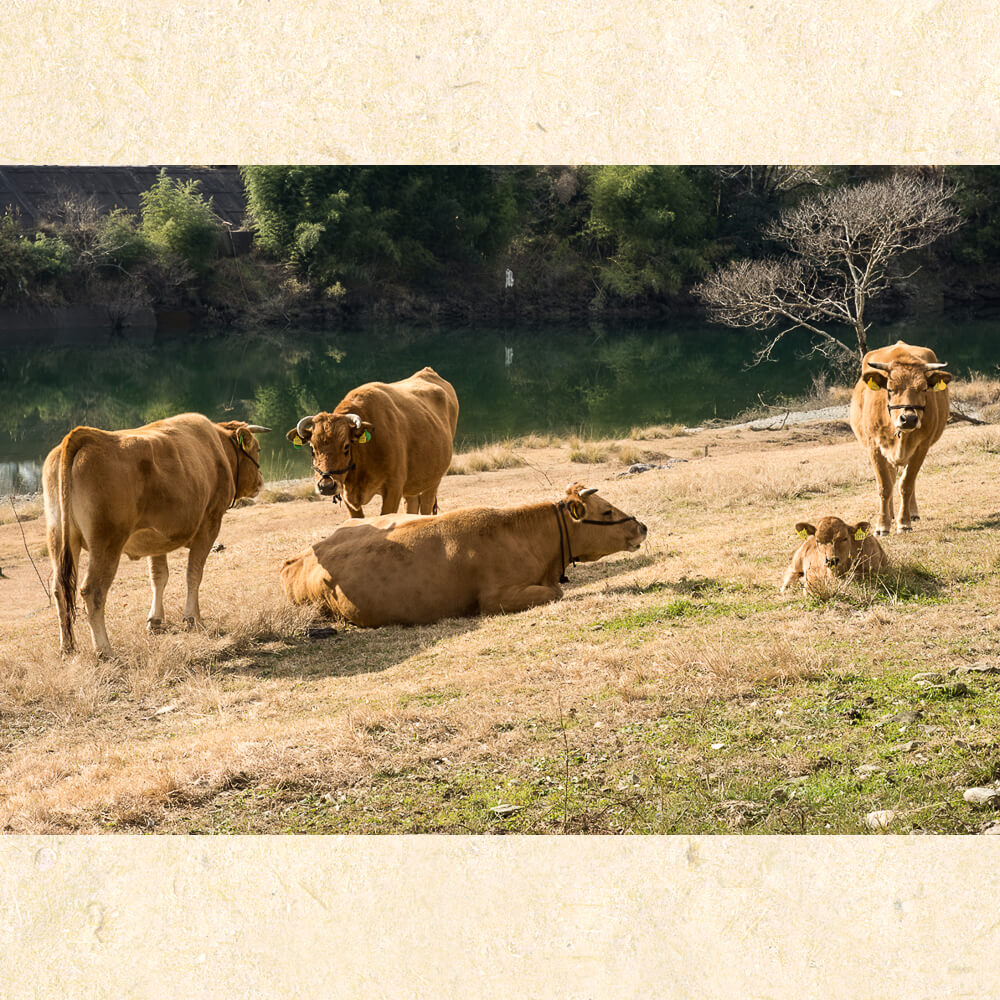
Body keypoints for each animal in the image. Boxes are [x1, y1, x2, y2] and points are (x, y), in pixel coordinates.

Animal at [43, 410, 272, 660]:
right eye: (258, 449)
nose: (261, 480)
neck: (217, 447)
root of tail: (87, 435)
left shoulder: (156, 540)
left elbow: (159, 577)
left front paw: (155, 620)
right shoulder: (209, 524)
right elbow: (194, 574)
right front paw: (194, 619)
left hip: (59, 536)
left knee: (60, 589)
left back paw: (68, 648)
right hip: (107, 540)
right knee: (92, 591)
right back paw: (104, 650)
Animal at [286, 370, 458, 524]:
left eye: (346, 446)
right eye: (312, 449)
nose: (326, 486)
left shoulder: (393, 488)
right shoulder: (347, 494)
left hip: (433, 481)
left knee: (426, 506)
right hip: (413, 485)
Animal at [852, 340, 952, 536]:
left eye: (923, 389)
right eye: (891, 389)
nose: (909, 418)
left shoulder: (921, 448)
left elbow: (906, 484)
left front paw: (904, 522)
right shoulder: (874, 448)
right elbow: (885, 486)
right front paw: (882, 525)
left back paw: (911, 513)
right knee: (891, 479)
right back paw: (890, 514)